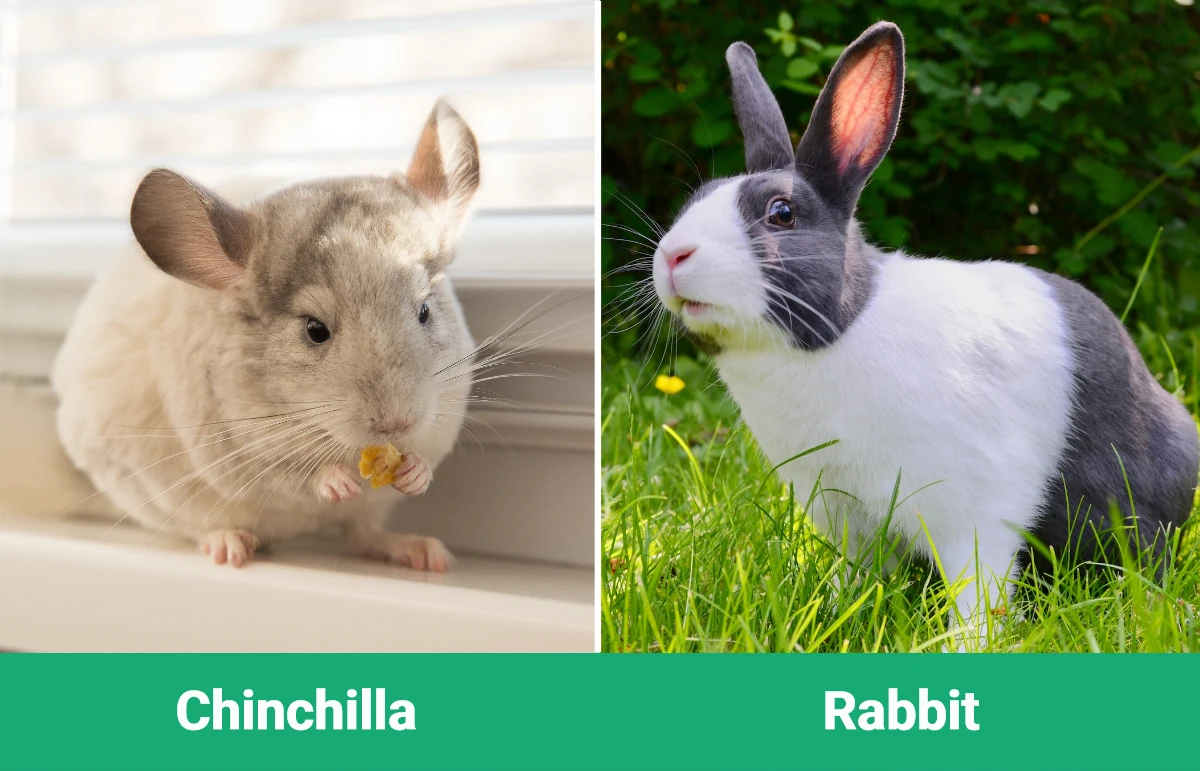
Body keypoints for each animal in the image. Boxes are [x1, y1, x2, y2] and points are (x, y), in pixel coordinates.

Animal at [52, 99, 481, 571]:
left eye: (425, 310)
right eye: (315, 329)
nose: (396, 424)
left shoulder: (442, 417)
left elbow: (420, 460)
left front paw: (414, 472)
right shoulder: (243, 447)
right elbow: (293, 477)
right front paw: (336, 483)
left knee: (362, 533)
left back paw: (421, 551)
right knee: (198, 528)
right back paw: (228, 544)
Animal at [650, 22, 1199, 638]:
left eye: (782, 213)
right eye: (695, 199)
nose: (672, 256)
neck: (837, 334)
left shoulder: (973, 509)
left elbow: (979, 585)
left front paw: (970, 642)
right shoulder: (843, 512)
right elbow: (856, 574)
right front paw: (836, 613)